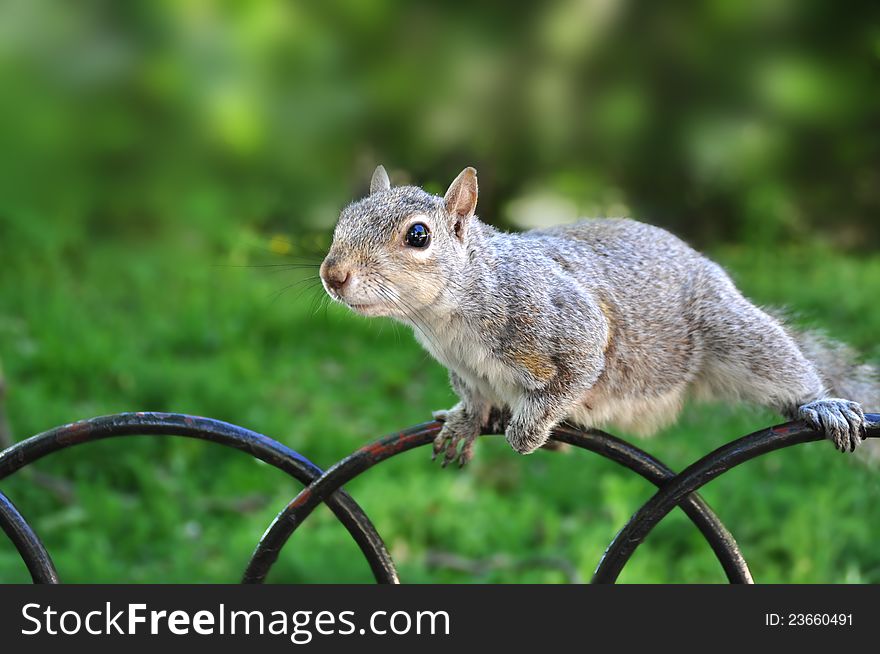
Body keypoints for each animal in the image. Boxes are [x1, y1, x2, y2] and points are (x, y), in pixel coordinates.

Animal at [320, 167, 876, 468]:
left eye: (418, 236)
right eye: (343, 218)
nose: (333, 274)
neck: (445, 318)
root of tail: (708, 269)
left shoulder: (564, 321)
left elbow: (577, 371)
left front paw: (529, 432)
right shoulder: (464, 367)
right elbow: (474, 395)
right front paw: (466, 420)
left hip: (731, 333)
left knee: (781, 368)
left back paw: (820, 403)